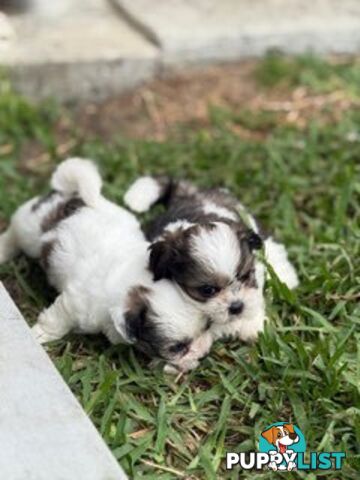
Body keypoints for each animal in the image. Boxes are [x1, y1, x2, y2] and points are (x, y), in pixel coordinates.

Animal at [0, 159, 211, 374]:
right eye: (177, 347)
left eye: (207, 326)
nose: (203, 353)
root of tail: (81, 198)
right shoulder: (73, 305)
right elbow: (55, 322)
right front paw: (38, 336)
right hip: (29, 230)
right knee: (14, 236)